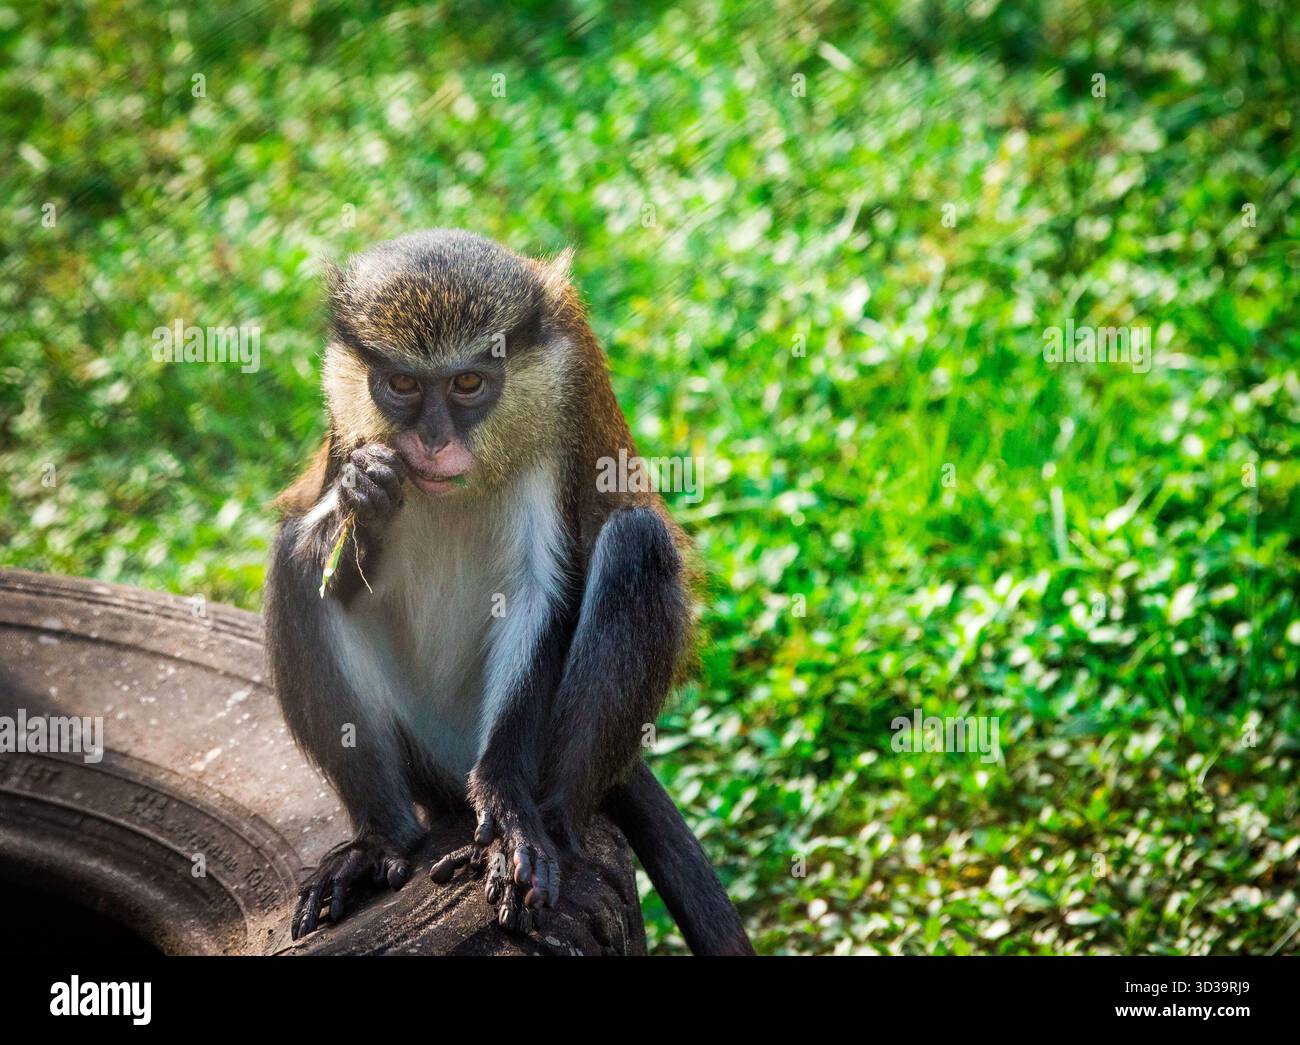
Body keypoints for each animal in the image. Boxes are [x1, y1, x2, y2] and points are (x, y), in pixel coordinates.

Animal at [264, 229, 754, 955]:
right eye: (402, 384)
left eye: (469, 382)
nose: (432, 443)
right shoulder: (343, 424)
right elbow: (318, 553)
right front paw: (367, 500)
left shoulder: (562, 403)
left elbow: (536, 594)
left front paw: (505, 808)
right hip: (423, 750)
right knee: (294, 563)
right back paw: (381, 842)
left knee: (636, 544)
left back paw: (550, 825)